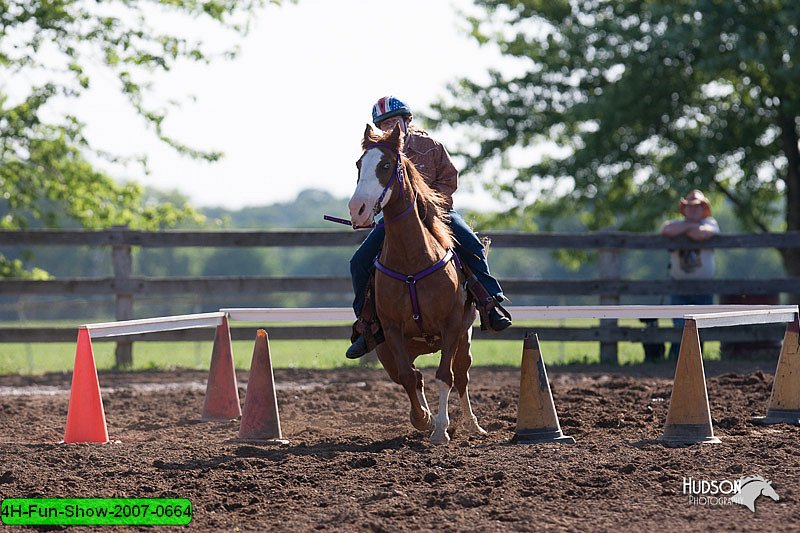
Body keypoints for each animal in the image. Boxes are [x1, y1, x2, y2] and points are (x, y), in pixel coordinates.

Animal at [346, 123, 484, 444]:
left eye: (385, 165)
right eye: (359, 164)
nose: (357, 208)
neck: (412, 259)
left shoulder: (451, 326)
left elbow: (444, 376)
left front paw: (441, 429)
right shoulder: (391, 329)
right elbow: (410, 377)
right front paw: (423, 419)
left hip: (464, 338)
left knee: (461, 376)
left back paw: (472, 425)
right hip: (386, 349)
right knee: (411, 376)